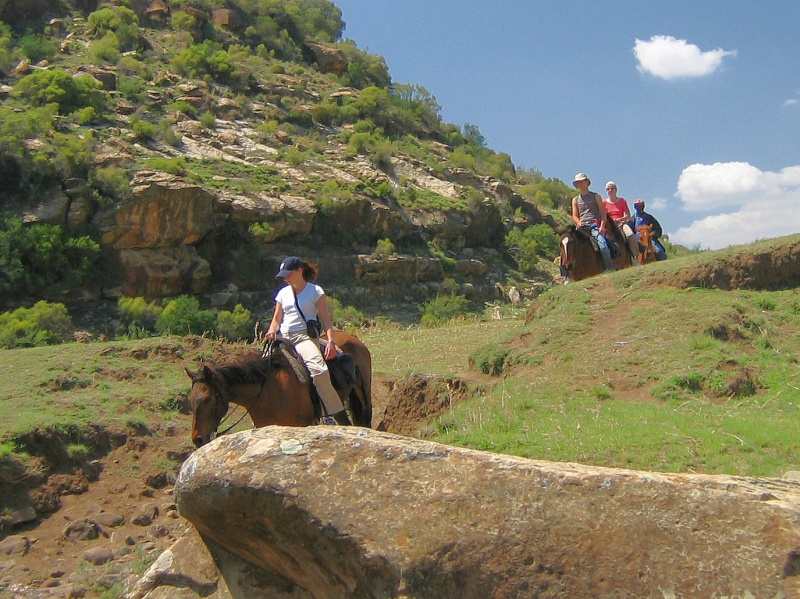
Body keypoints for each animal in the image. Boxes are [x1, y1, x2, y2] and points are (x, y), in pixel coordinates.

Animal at [186, 331, 372, 447]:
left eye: (207, 399)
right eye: (191, 401)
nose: (197, 439)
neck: (266, 392)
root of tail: (353, 339)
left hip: (364, 395)